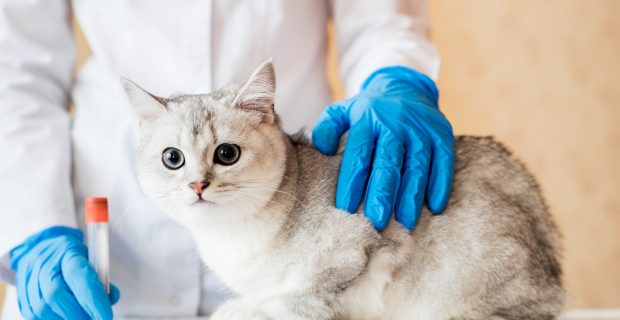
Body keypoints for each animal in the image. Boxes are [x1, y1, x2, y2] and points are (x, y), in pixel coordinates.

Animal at [123, 60, 564, 320]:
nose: (197, 184)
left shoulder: (357, 249)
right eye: (172, 158)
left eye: (226, 153)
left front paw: (245, 310)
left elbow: (295, 301)